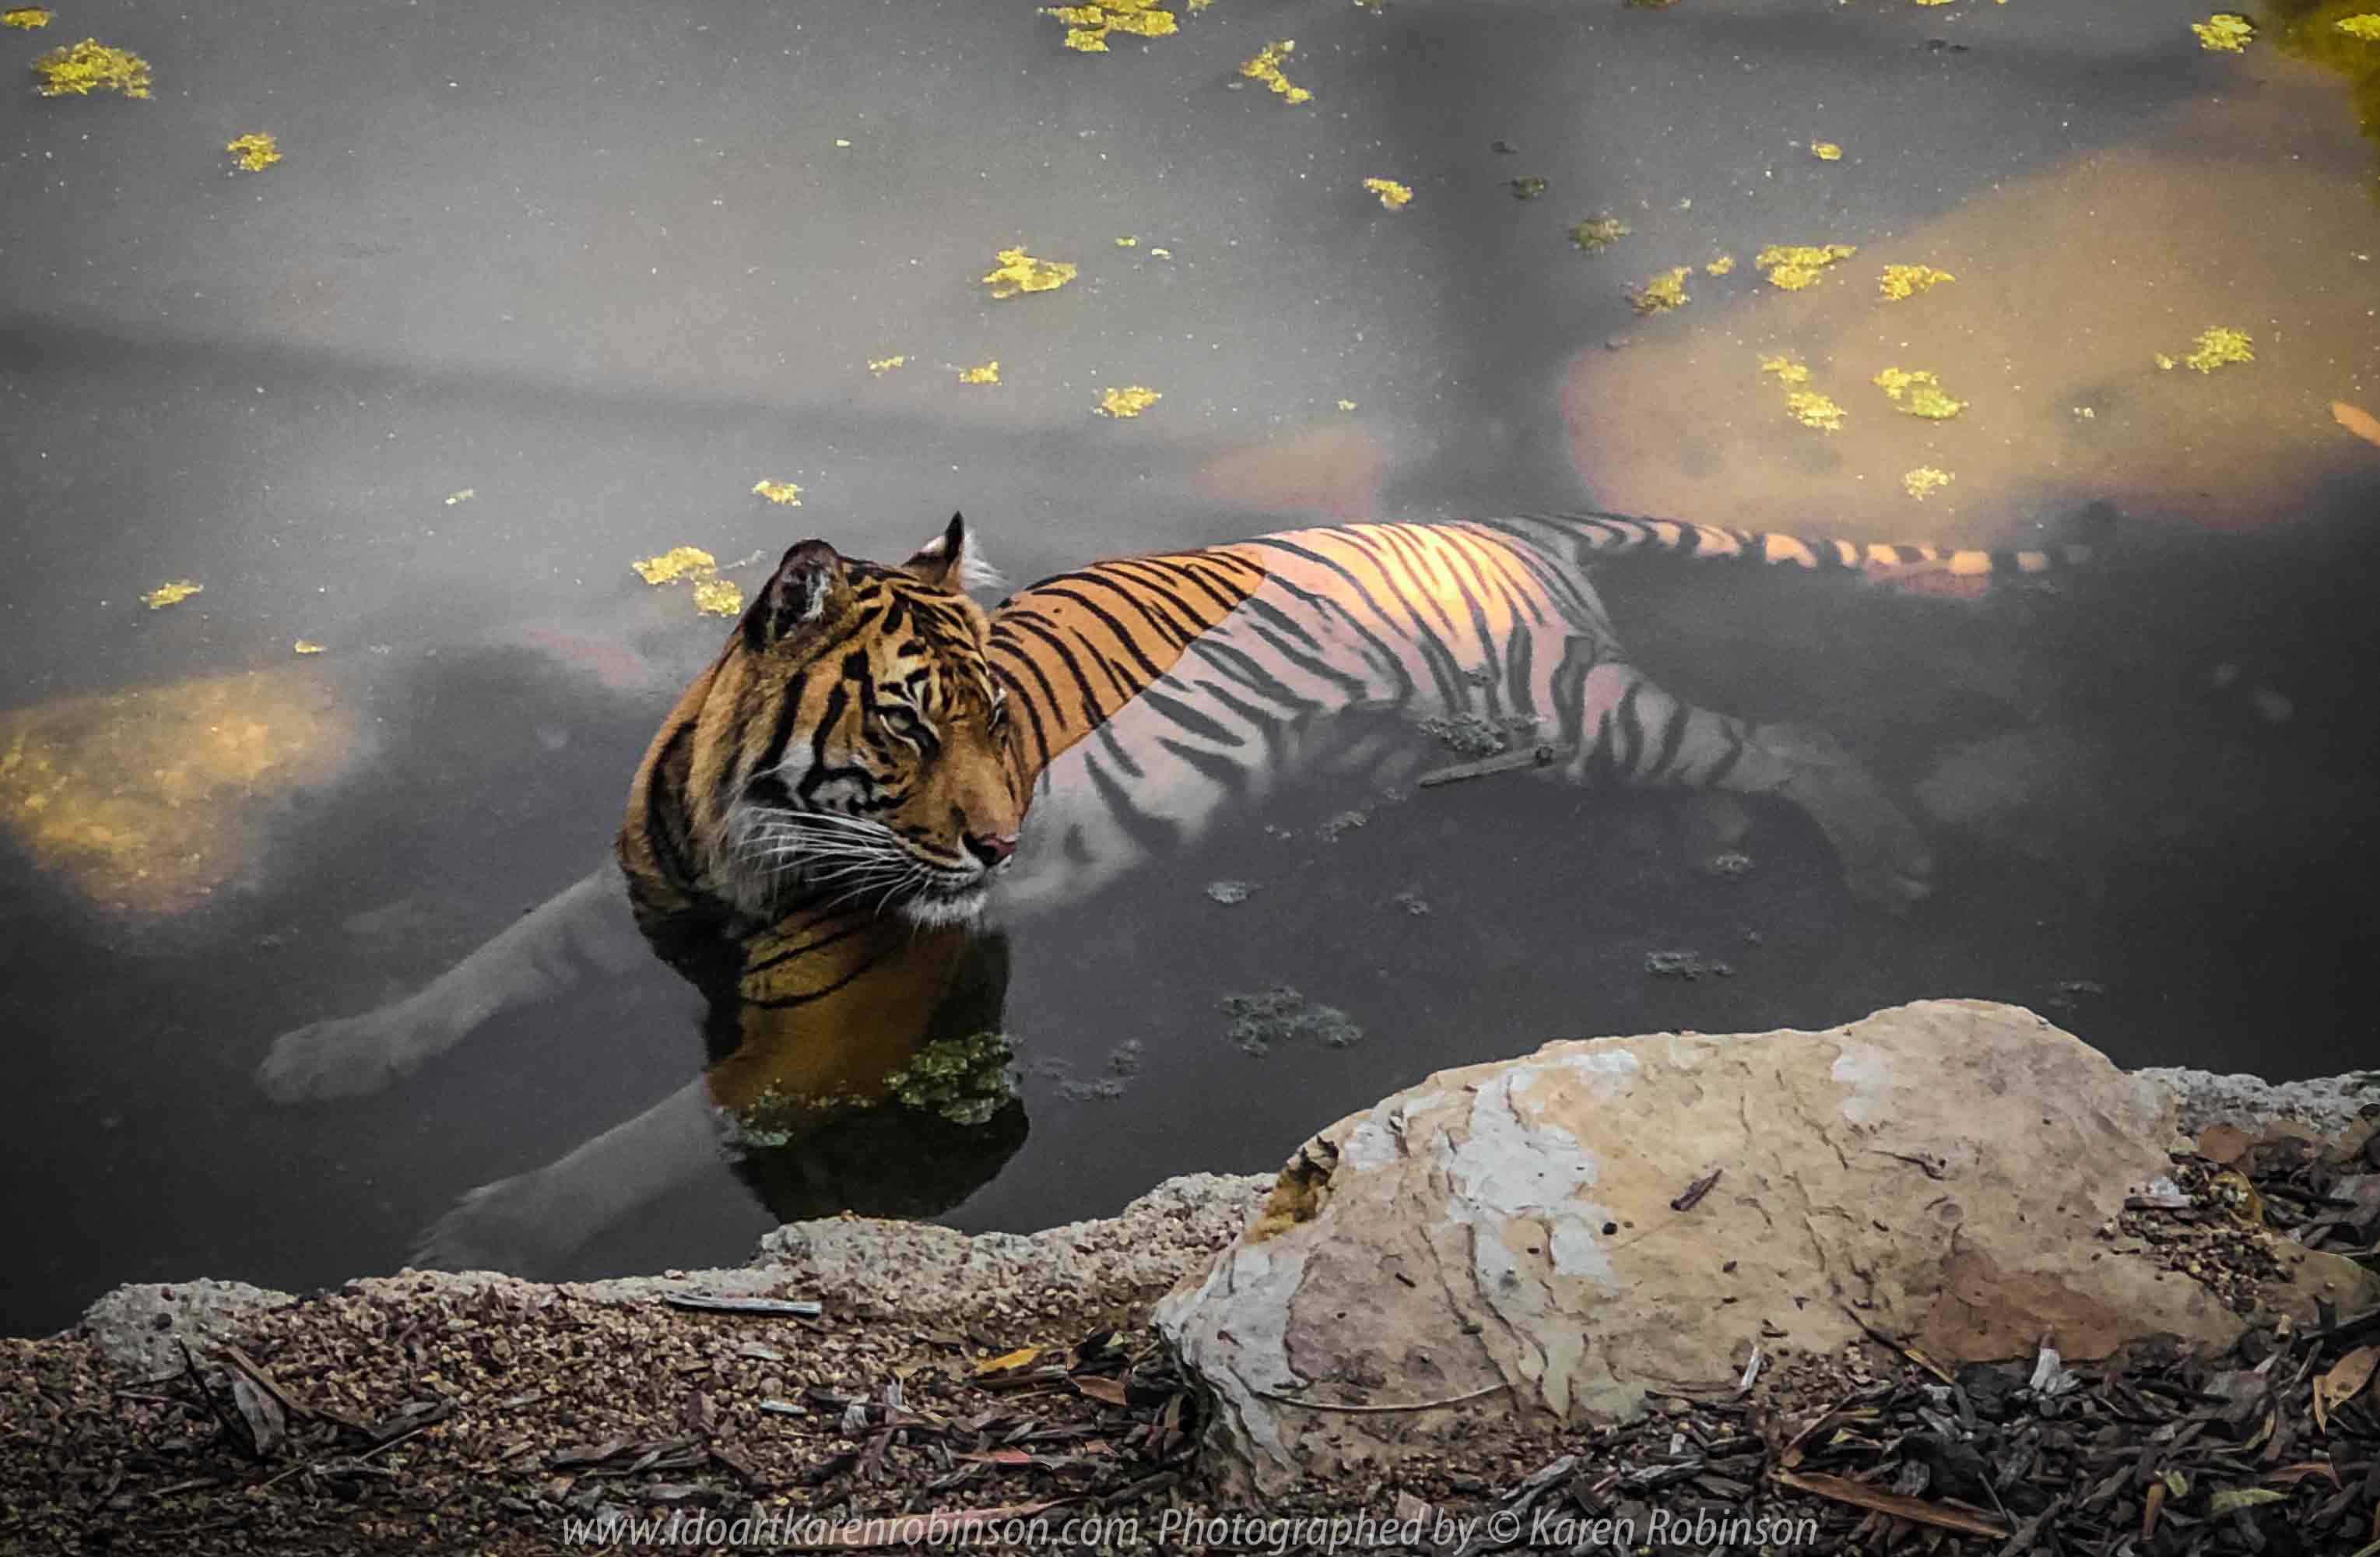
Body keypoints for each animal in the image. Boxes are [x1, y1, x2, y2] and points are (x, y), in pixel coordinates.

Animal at [254, 508, 2092, 1272]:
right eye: (911, 720)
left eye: (1007, 723)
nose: (1003, 846)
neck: (743, 823)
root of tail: (1501, 514)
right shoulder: (629, 905)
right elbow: (479, 966)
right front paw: (327, 1053)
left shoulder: (833, 1025)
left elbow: (642, 1136)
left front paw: (485, 1226)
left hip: (1561, 708)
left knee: (1772, 738)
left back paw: (1882, 852)